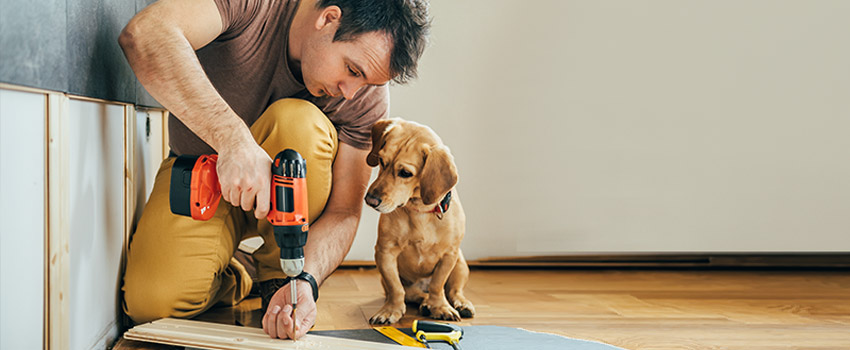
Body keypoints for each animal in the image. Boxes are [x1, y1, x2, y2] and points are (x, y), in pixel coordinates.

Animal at [362, 118, 474, 326]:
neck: (420, 211)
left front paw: (441, 307)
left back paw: (460, 304)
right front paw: (390, 310)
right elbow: (396, 288)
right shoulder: (385, 253)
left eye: (405, 173)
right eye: (381, 161)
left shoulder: (449, 255)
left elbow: (438, 285)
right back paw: (424, 302)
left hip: (461, 264)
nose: (370, 200)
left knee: (454, 290)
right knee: (413, 293)